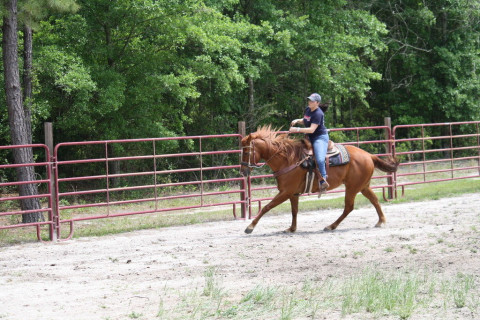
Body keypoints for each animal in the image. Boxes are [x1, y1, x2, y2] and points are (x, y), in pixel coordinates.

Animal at [240, 126, 402, 234]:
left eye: (246, 151)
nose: (243, 171)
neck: (287, 160)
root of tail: (369, 155)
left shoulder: (285, 192)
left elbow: (267, 207)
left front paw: (250, 227)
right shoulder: (293, 193)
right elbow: (294, 211)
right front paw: (291, 228)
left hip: (352, 188)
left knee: (349, 207)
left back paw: (331, 226)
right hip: (363, 186)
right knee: (374, 200)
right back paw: (381, 221)